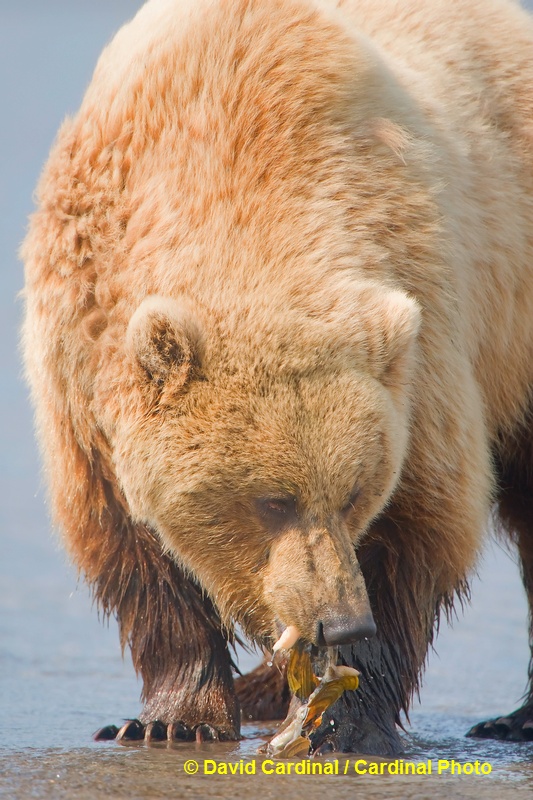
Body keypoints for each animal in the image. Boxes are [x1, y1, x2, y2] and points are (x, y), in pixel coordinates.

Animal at [22, 0, 532, 756]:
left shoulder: (426, 335)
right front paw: (171, 716)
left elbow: (418, 527)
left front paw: (340, 717)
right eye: (271, 500)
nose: (339, 620)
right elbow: (127, 539)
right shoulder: (79, 351)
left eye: (354, 493)